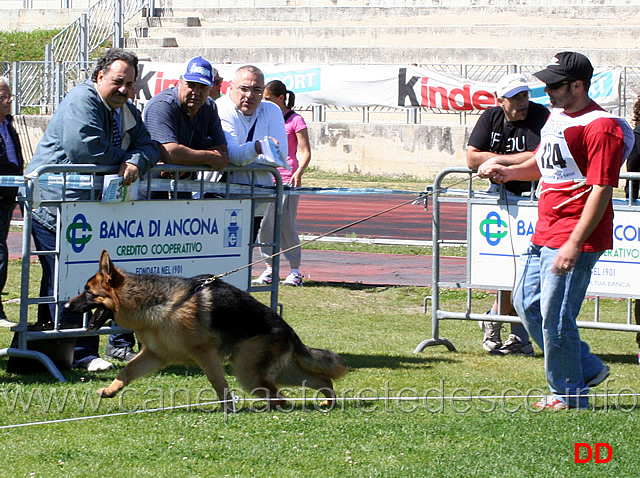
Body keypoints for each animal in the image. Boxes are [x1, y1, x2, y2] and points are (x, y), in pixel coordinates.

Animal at [65, 250, 344, 410]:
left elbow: (217, 382)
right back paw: (327, 399)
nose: (66, 306)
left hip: (248, 373)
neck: (157, 303)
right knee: (317, 379)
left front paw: (228, 408)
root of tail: (288, 330)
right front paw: (110, 391)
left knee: (280, 396)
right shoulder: (155, 355)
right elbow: (127, 371)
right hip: (266, 371)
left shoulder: (204, 354)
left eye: (88, 292)